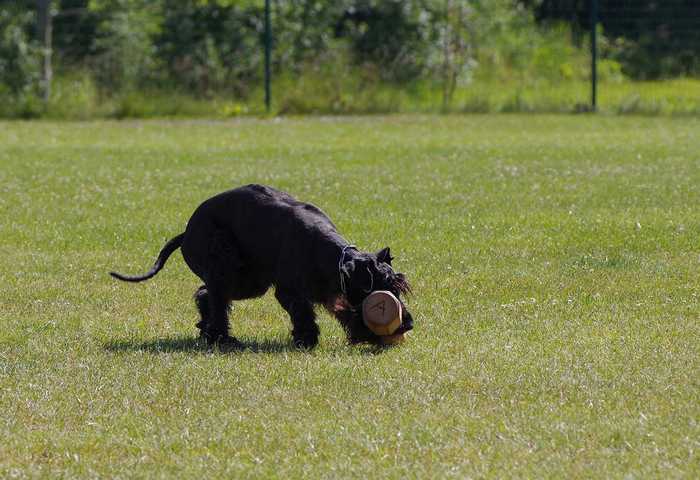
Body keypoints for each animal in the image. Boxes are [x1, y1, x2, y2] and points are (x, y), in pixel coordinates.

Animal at [109, 185, 410, 348]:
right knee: (216, 299)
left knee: (208, 295)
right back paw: (223, 339)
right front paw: (307, 339)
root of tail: (186, 233)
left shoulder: (330, 291)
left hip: (248, 282)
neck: (328, 253)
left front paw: (363, 333)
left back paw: (208, 330)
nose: (407, 323)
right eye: (379, 289)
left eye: (398, 287)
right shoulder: (290, 290)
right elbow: (303, 312)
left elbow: (344, 309)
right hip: (226, 265)